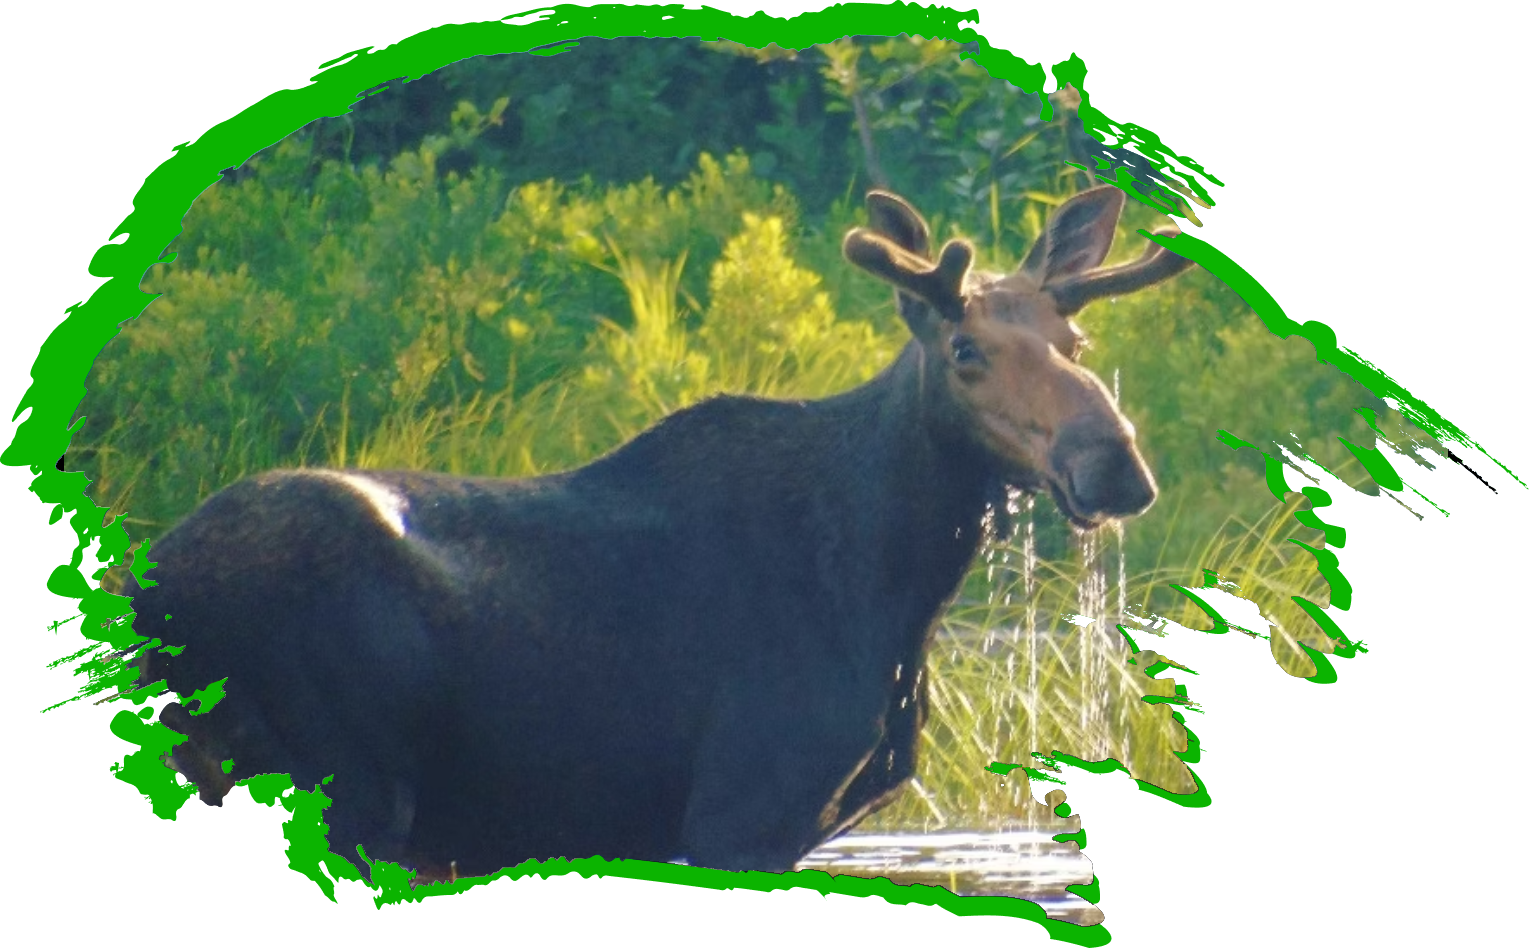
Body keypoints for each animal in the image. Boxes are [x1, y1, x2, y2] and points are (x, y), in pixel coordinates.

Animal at [128, 185, 1192, 880]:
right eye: (965, 350)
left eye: (1075, 342)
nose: (1113, 462)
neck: (898, 586)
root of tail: (151, 585)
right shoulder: (740, 810)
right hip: (338, 783)